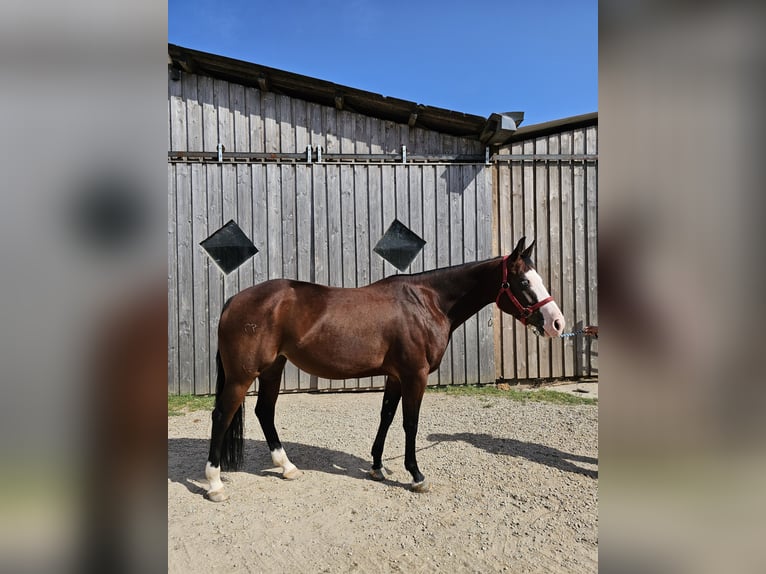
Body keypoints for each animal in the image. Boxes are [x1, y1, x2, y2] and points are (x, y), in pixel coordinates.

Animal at [204, 236, 564, 502]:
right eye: (522, 281)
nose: (557, 323)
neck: (427, 302)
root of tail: (234, 300)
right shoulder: (415, 375)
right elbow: (410, 423)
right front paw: (416, 475)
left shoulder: (394, 375)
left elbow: (387, 417)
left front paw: (377, 466)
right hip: (242, 375)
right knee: (222, 415)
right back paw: (215, 484)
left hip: (272, 368)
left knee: (265, 411)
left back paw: (287, 467)